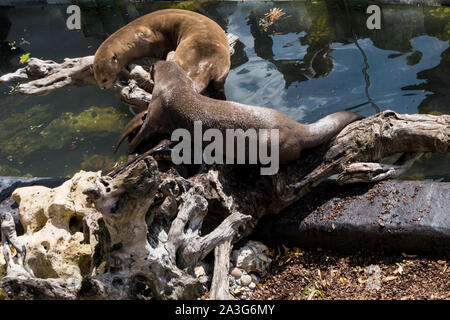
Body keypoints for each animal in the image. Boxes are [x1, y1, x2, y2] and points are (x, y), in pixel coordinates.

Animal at [92, 8, 230, 99]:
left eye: (104, 79)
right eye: (96, 78)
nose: (102, 87)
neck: (130, 40)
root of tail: (205, 64)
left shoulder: (148, 35)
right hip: (222, 69)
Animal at [117, 60, 362, 165]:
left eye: (151, 66)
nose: (150, 64)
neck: (174, 86)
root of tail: (297, 128)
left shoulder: (157, 108)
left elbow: (146, 129)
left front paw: (132, 147)